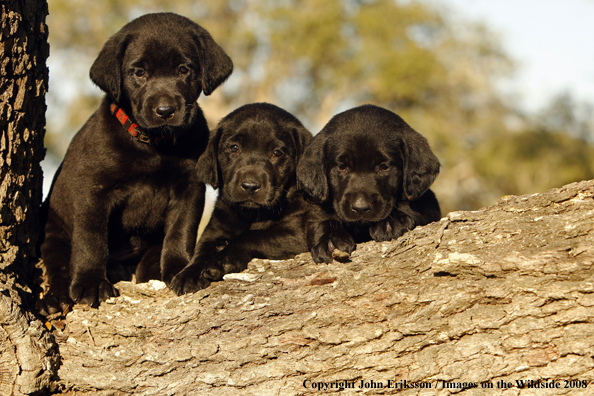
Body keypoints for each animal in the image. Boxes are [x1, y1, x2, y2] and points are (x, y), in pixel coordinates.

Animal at [39, 13, 231, 312]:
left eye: (183, 70)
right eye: (139, 73)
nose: (165, 110)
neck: (154, 145)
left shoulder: (189, 189)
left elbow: (181, 231)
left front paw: (180, 269)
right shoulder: (93, 190)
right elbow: (91, 240)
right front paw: (91, 283)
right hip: (54, 231)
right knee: (58, 266)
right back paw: (56, 298)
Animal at [169, 102, 312, 294]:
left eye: (277, 153)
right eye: (234, 148)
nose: (250, 186)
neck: (251, 215)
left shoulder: (297, 233)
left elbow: (251, 236)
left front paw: (221, 261)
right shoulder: (214, 230)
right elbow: (201, 250)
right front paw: (188, 274)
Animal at [296, 104, 440, 262]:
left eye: (383, 167)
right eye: (342, 167)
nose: (360, 208)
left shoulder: (428, 203)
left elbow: (410, 205)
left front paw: (392, 222)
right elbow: (321, 220)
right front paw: (330, 239)